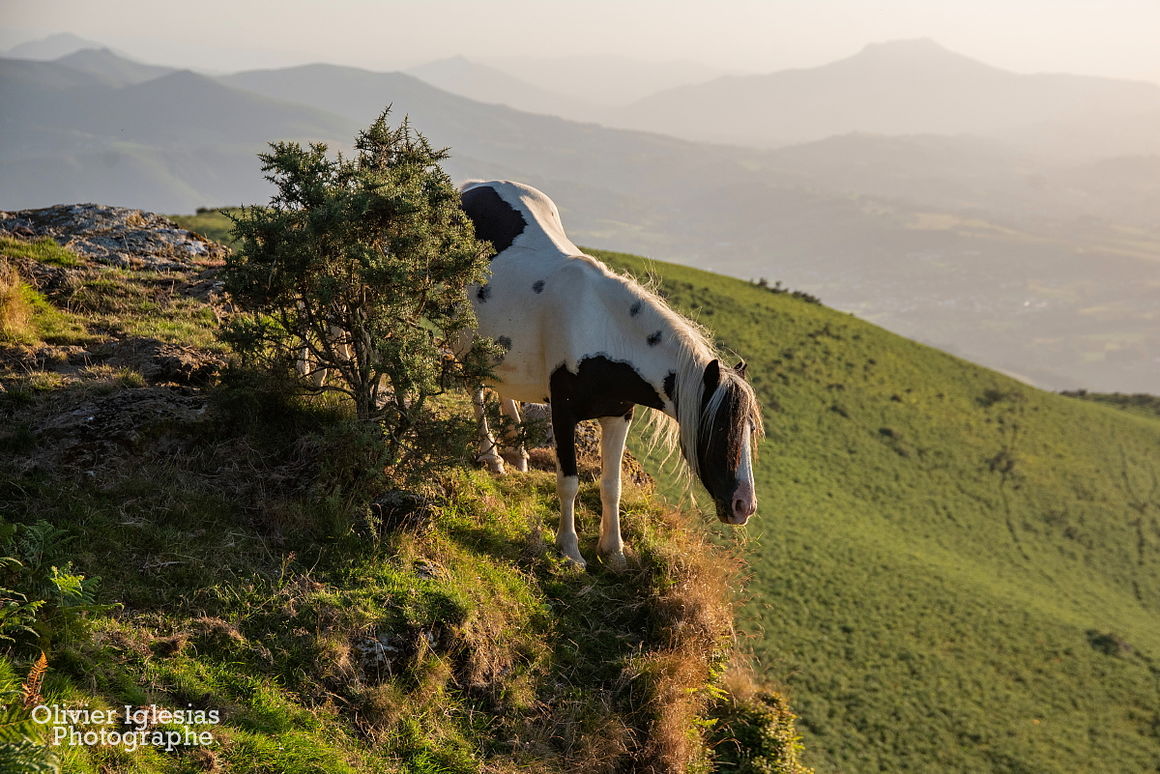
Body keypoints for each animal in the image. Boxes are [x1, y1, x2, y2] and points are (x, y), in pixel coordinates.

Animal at [461, 179, 760, 568]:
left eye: (750, 429)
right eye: (720, 428)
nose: (744, 506)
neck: (604, 332)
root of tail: (473, 187)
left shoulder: (619, 415)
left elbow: (611, 485)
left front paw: (614, 551)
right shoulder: (563, 412)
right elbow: (569, 481)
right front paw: (570, 550)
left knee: (502, 386)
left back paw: (516, 452)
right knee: (475, 390)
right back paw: (492, 457)